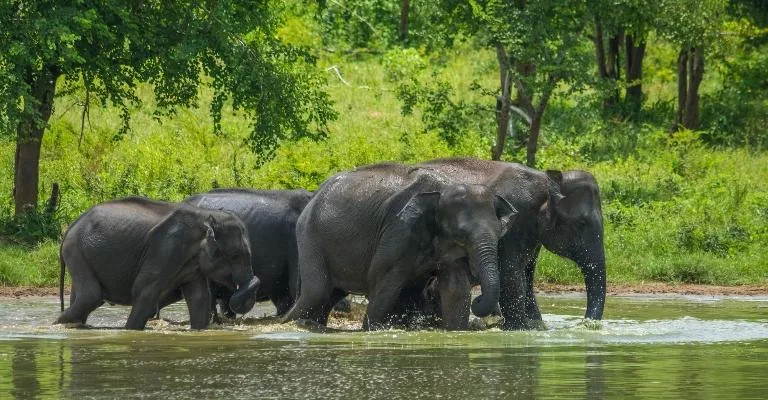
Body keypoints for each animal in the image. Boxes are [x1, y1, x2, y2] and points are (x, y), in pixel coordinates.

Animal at [54, 196, 260, 330]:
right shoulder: (165, 249)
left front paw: (199, 330)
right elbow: (145, 290)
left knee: (82, 298)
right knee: (91, 296)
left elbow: (199, 297)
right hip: (77, 251)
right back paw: (55, 325)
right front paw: (129, 331)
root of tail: (70, 227)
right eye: (235, 256)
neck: (207, 217)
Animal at [282, 162, 518, 330]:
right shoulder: (399, 230)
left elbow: (456, 289)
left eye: (500, 233)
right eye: (461, 234)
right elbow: (384, 282)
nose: (479, 301)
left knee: (328, 295)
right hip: (310, 237)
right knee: (316, 292)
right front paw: (371, 330)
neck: (443, 188)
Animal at [404, 158, 606, 329]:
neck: (543, 180)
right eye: (581, 224)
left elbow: (527, 277)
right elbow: (511, 275)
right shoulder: (513, 224)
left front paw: (536, 326)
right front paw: (520, 329)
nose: (586, 325)